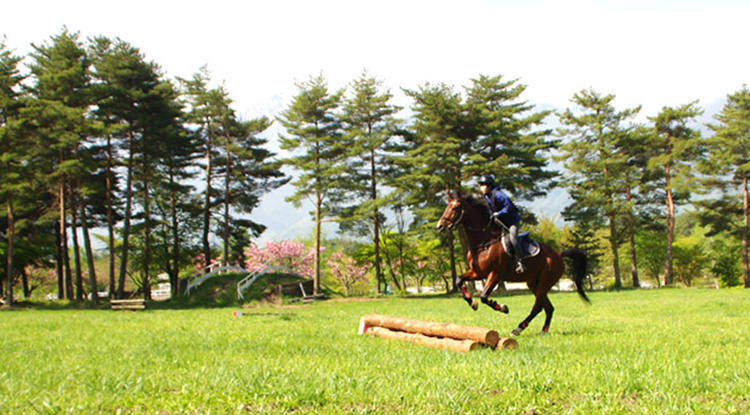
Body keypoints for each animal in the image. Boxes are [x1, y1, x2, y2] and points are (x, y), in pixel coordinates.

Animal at [438, 193, 592, 336]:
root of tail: (559, 254)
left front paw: (502, 307)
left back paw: (518, 329)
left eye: (455, 208)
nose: (439, 226)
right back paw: (542, 330)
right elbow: (459, 280)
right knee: (548, 307)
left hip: (545, 281)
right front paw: (472, 303)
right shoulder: (478, 272)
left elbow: (484, 296)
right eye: (446, 207)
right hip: (533, 283)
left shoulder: (495, 274)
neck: (484, 242)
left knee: (538, 306)